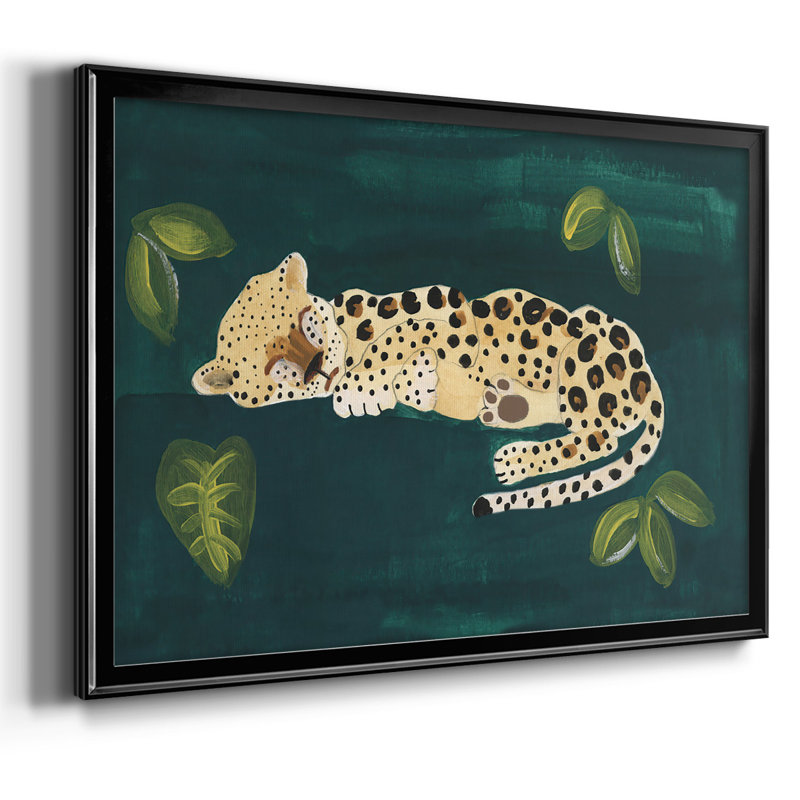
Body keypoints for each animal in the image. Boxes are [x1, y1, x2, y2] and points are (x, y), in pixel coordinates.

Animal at [192, 252, 664, 516]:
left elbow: (400, 334)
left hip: (584, 348)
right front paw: (412, 384)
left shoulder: (454, 317)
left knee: (598, 437)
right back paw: (505, 407)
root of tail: (648, 379)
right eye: (278, 370)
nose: (317, 369)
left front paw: (366, 387)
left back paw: (513, 460)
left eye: (308, 325)